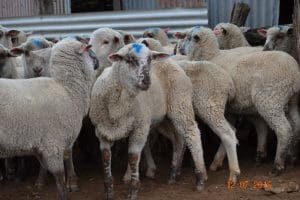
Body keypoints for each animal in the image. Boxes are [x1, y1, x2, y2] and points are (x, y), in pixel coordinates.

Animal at [88, 43, 206, 199]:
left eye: (150, 59)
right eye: (130, 59)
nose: (146, 81)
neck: (118, 106)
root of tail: (171, 61)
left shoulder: (139, 128)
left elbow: (133, 157)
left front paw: (133, 191)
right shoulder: (102, 132)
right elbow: (106, 157)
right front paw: (109, 191)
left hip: (180, 103)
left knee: (192, 134)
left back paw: (200, 178)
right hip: (164, 119)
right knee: (178, 140)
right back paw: (173, 173)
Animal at [182, 26, 300, 175]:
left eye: (188, 37)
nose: (180, 50)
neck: (212, 56)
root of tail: (294, 72)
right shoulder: (236, 108)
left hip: (271, 100)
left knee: (284, 129)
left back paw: (278, 165)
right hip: (291, 100)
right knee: (296, 124)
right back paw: (291, 156)